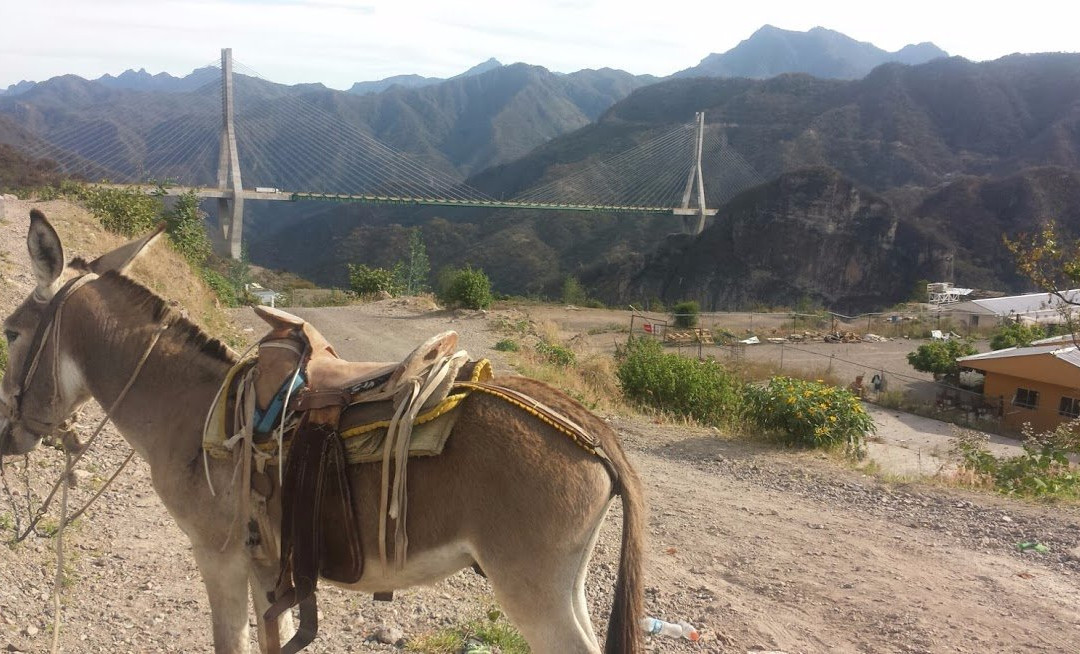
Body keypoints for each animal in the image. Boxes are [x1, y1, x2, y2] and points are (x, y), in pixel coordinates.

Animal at [0, 210, 644, 654]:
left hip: (533, 593)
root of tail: (584, 425)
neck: (192, 412)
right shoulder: (268, 569)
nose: (8, 439)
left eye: (9, 332)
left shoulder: (219, 560)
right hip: (566, 587)